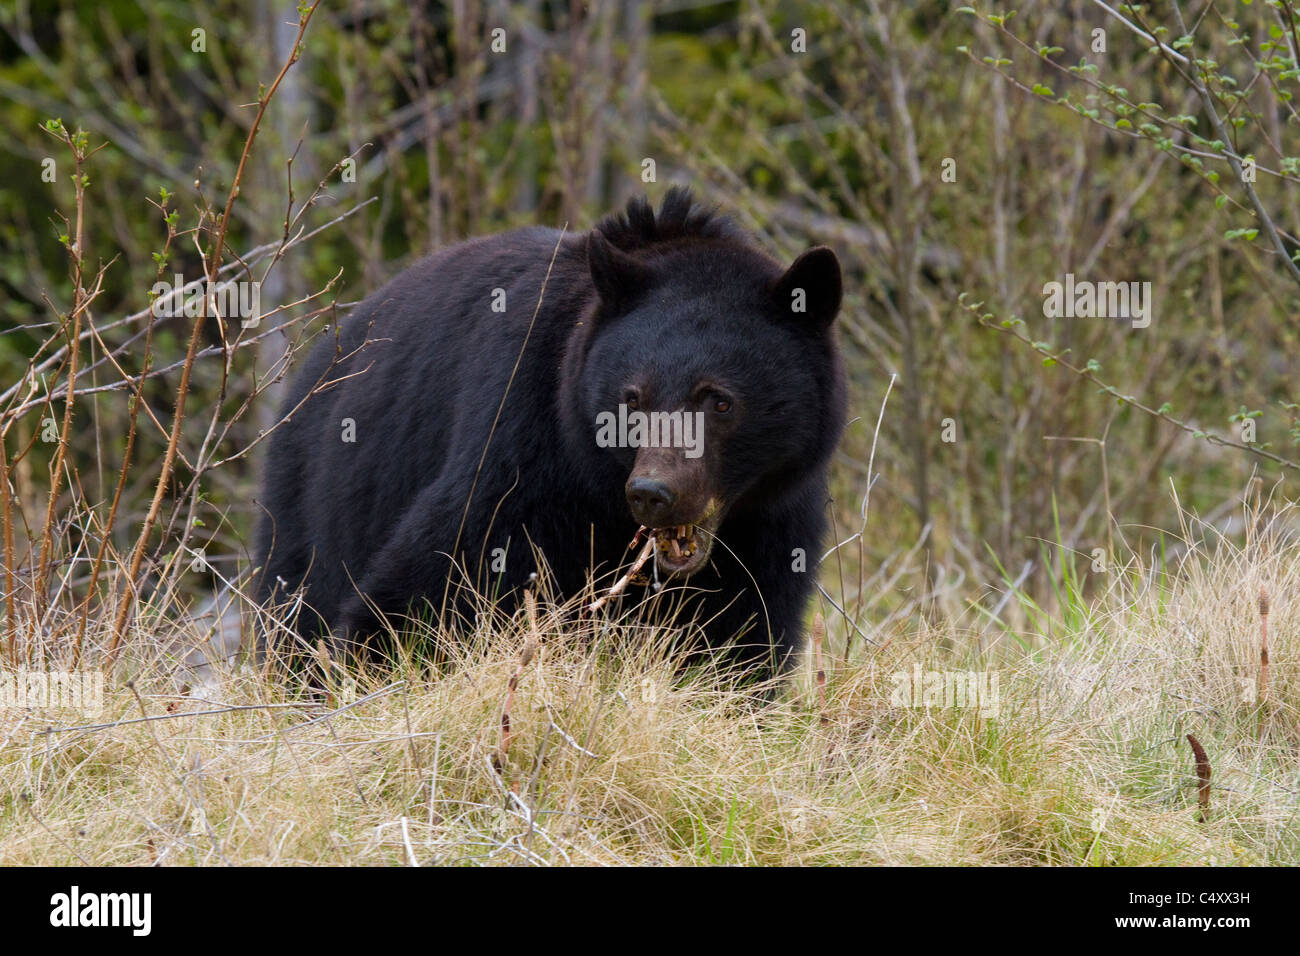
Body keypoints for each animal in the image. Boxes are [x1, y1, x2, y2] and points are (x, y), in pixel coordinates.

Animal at [254, 187, 846, 676]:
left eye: (719, 401)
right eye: (632, 399)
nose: (653, 493)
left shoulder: (772, 510)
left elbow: (747, 623)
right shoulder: (529, 434)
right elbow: (446, 567)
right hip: (317, 494)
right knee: (299, 596)